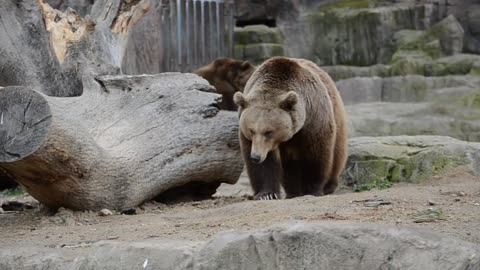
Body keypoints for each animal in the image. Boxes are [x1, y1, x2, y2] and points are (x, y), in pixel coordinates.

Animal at [232, 57, 344, 199]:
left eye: (269, 132)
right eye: (251, 131)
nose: (256, 157)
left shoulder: (313, 120)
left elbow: (316, 154)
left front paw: (313, 190)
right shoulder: (249, 135)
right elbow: (264, 165)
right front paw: (267, 194)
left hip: (335, 112)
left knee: (337, 153)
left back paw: (329, 186)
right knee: (290, 166)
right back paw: (293, 191)